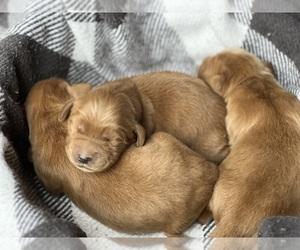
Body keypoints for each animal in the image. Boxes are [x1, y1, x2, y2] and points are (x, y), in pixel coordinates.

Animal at [24, 78, 219, 236]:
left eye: (112, 140)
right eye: (77, 127)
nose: (83, 158)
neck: (51, 119)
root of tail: (210, 174)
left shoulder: (47, 177)